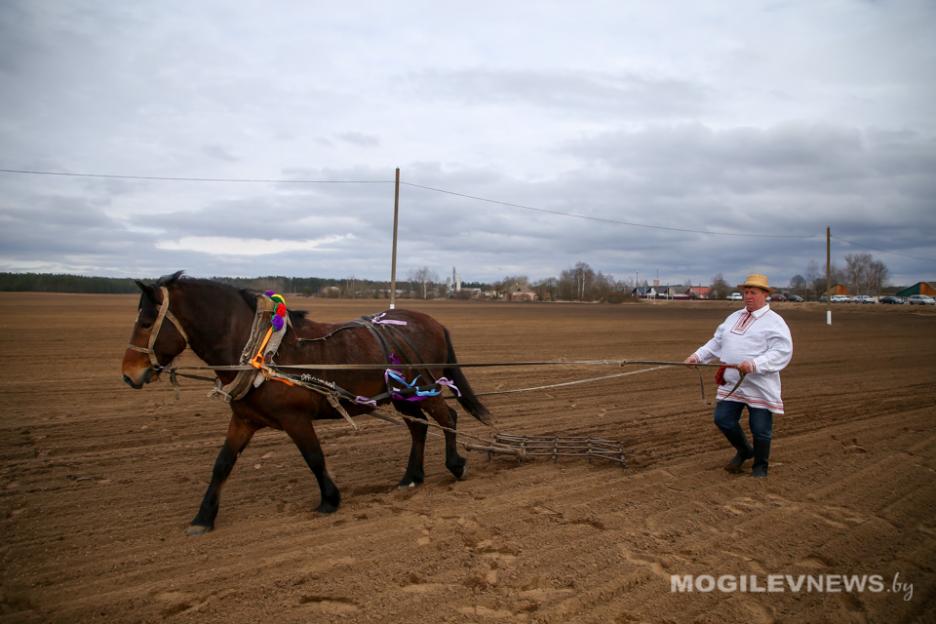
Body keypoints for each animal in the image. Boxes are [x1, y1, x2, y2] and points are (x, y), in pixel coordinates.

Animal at [119, 270, 490, 532]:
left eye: (147, 321)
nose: (128, 374)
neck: (260, 349)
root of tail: (434, 322)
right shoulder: (244, 419)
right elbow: (222, 464)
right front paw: (203, 517)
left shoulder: (295, 418)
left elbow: (313, 457)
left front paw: (329, 500)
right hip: (403, 394)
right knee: (419, 428)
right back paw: (411, 477)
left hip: (424, 386)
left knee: (448, 418)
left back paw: (455, 464)